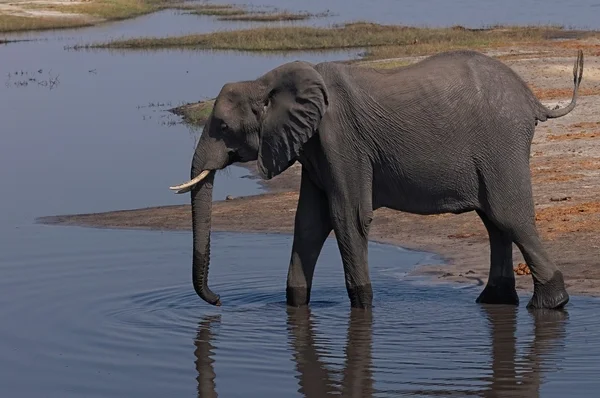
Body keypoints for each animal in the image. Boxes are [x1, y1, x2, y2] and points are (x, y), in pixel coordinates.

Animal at [171, 49, 584, 310]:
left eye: (223, 127)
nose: (219, 301)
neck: (265, 81)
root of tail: (532, 99)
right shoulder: (315, 149)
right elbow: (308, 224)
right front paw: (295, 306)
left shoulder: (342, 140)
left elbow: (347, 218)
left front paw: (364, 308)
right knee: (494, 222)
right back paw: (493, 301)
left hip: (501, 143)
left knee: (507, 216)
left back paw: (549, 305)